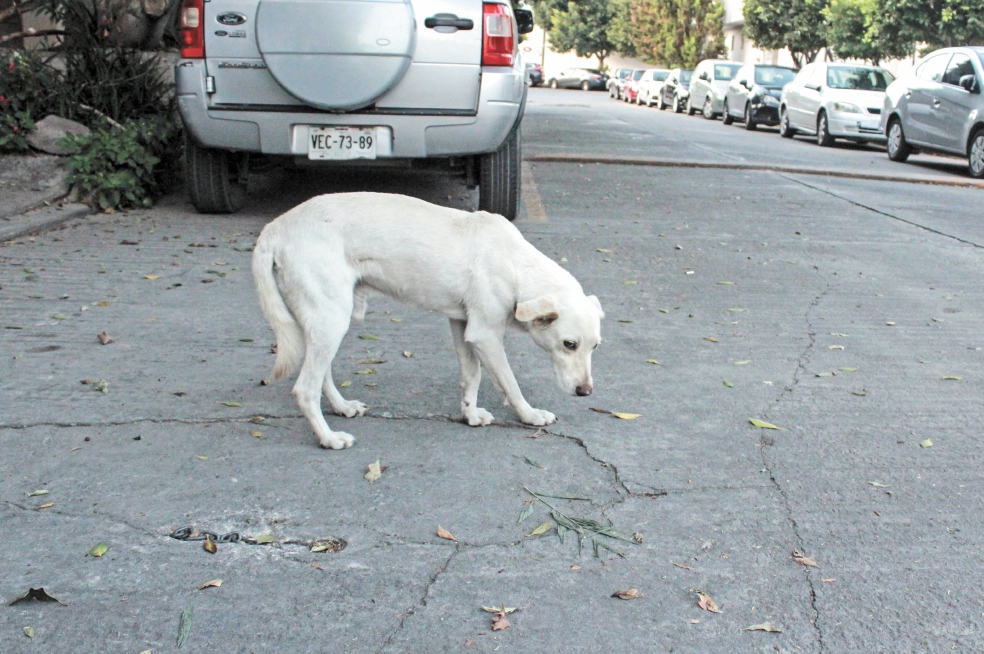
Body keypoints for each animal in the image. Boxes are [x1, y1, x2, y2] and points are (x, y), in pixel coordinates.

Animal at [250, 193, 604, 452]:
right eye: (569, 344)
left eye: (594, 347)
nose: (586, 392)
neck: (515, 264)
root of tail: (275, 226)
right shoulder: (486, 335)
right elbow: (510, 383)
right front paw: (530, 415)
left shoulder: (463, 327)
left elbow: (471, 376)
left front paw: (470, 414)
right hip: (331, 320)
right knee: (305, 389)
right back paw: (328, 438)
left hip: (327, 323)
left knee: (321, 376)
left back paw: (341, 407)